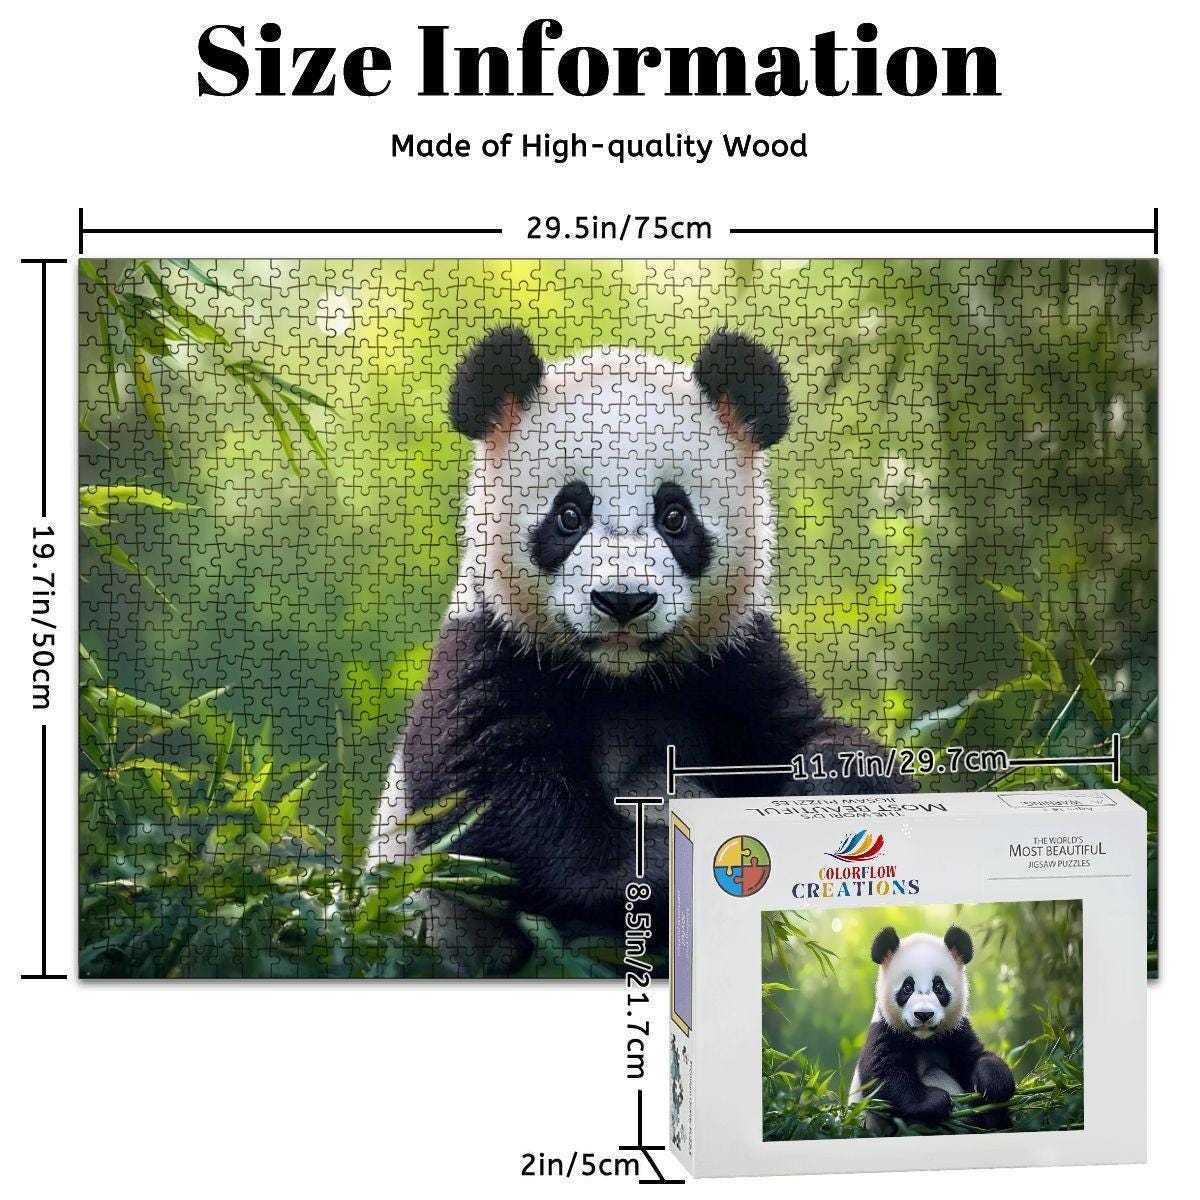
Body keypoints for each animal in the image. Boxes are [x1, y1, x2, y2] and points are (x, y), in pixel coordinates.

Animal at [370, 325, 914, 971]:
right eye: (570, 514)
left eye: (674, 515)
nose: (623, 600)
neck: (618, 677)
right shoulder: (490, 650)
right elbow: (489, 807)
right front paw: (662, 868)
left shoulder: (730, 660)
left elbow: (802, 732)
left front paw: (839, 790)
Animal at [850, 926, 1016, 1133]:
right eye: (907, 987)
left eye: (938, 987)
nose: (924, 1014)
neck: (923, 1039)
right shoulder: (884, 1032)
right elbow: (882, 1077)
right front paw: (937, 1102)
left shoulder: (955, 1032)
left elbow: (975, 1056)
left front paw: (995, 1083)